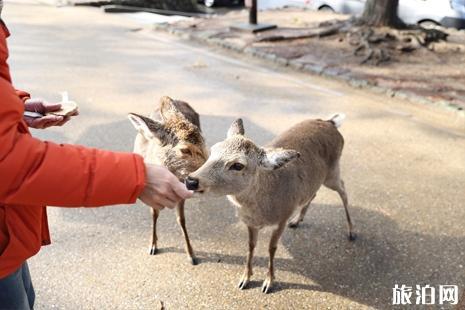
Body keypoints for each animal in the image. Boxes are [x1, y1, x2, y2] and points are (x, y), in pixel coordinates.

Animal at [127, 96, 207, 264]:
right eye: (185, 149)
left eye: (204, 142)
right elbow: (154, 214)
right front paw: (152, 246)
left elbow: (181, 219)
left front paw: (191, 255)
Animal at [185, 114, 356, 294]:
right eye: (213, 150)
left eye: (238, 165)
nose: (191, 180)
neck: (262, 212)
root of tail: (331, 122)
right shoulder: (250, 223)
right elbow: (251, 245)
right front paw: (245, 279)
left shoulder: (282, 217)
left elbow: (271, 248)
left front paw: (268, 283)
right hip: (317, 179)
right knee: (313, 193)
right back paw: (296, 221)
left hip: (333, 172)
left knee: (343, 189)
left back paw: (351, 231)